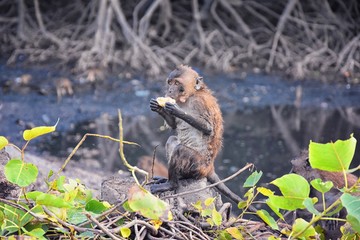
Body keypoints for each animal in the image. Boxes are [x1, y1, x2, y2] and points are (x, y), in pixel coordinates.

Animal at [150, 64, 258, 212]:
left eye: (177, 83)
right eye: (170, 82)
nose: (170, 90)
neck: (190, 96)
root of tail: (210, 167)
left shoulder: (199, 102)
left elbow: (207, 128)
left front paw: (178, 110)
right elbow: (173, 125)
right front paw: (159, 108)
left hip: (199, 166)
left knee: (181, 150)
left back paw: (171, 184)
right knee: (172, 140)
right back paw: (175, 178)